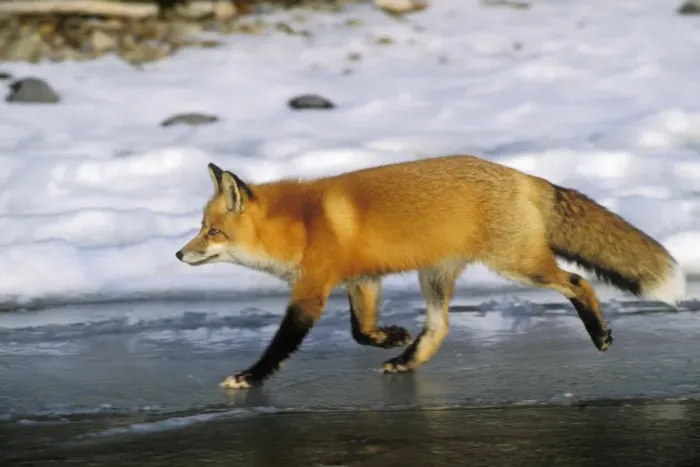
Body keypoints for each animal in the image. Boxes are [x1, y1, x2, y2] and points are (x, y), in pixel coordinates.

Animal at [175, 155, 685, 390]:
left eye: (213, 231)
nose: (179, 255)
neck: (300, 225)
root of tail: (518, 174)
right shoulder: (363, 280)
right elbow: (361, 331)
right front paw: (393, 337)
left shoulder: (312, 290)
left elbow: (281, 344)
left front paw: (250, 377)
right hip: (436, 276)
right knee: (440, 327)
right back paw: (407, 360)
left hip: (517, 265)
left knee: (578, 283)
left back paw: (599, 334)